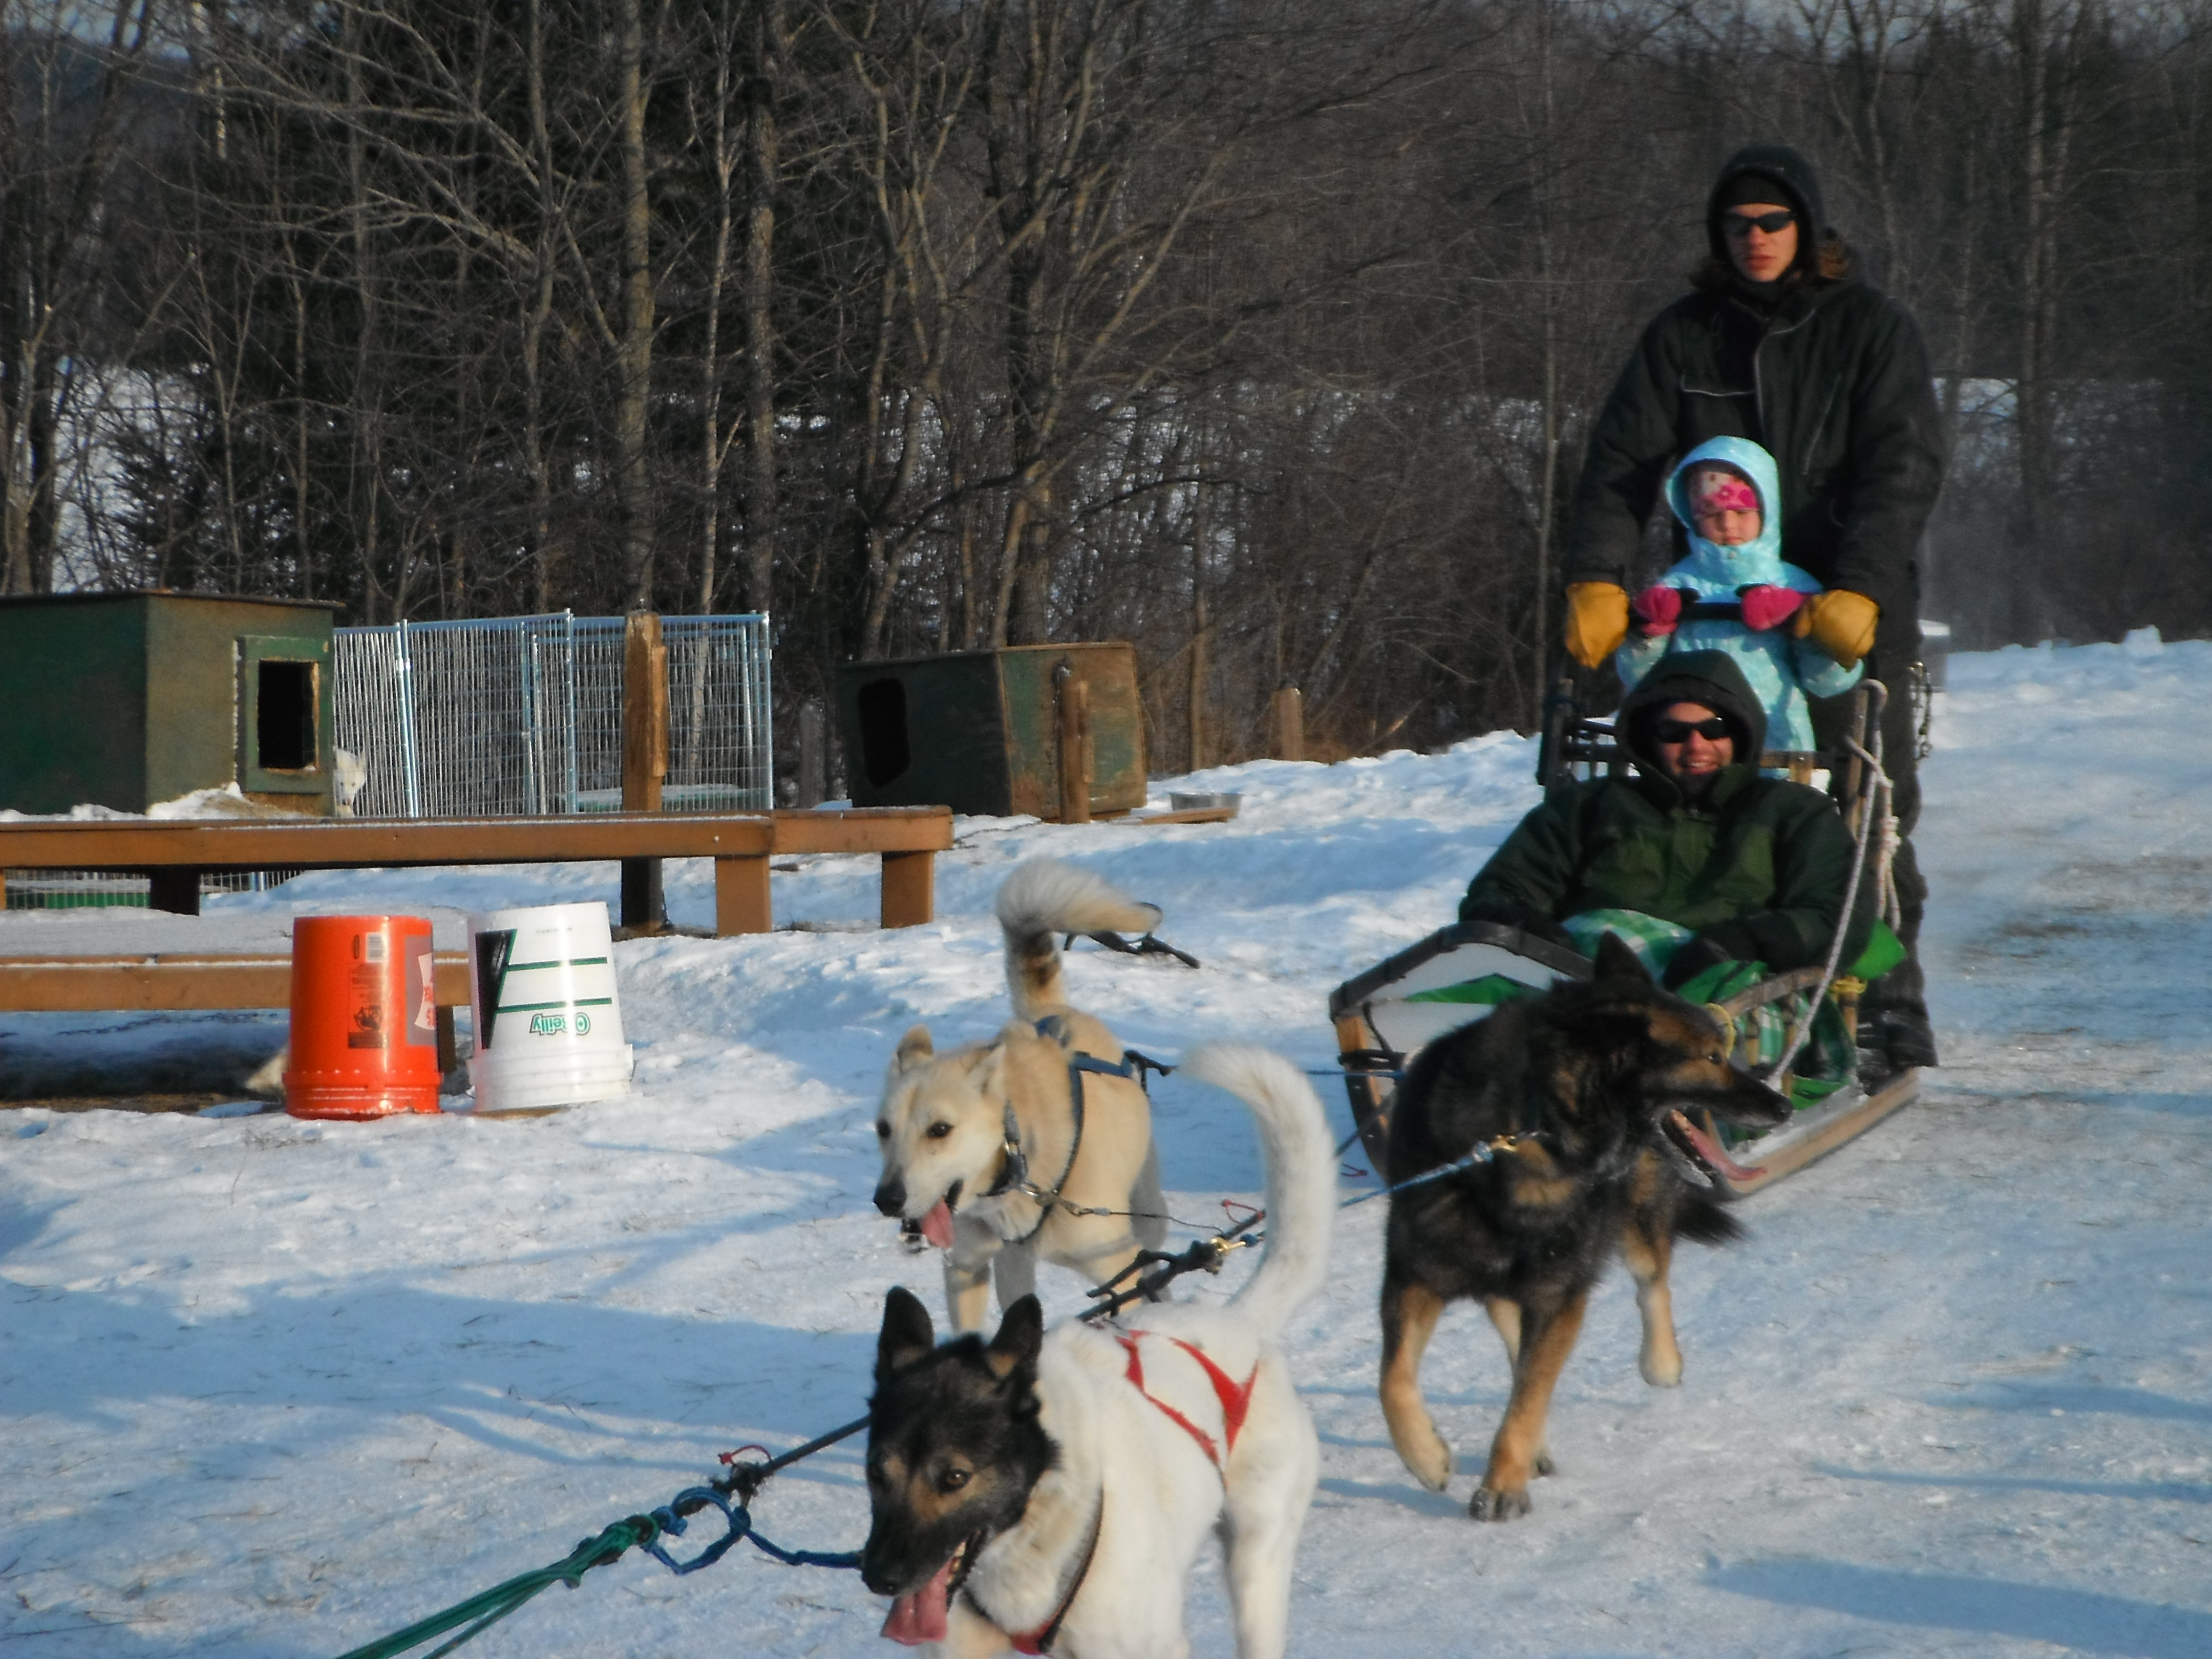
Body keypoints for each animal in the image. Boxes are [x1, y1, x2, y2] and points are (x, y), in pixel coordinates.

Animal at [873, 859, 1171, 1333]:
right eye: (883, 1130)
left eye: (940, 1129)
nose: (887, 1199)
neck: (1019, 1160)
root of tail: (1049, 1014)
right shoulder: (965, 1267)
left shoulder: (1119, 1273)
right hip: (1013, 1270)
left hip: (1146, 1217)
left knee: (1159, 1266)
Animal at [1376, 931, 1791, 1520]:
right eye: (1711, 1057)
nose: (1782, 1105)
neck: (1533, 1127)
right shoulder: (1414, 1277)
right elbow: (1393, 1380)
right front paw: (1426, 1456)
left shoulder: (1560, 1295)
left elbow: (1528, 1398)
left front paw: (1502, 1485)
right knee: (1512, 1329)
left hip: (1632, 1217)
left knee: (1650, 1282)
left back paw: (1661, 1362)